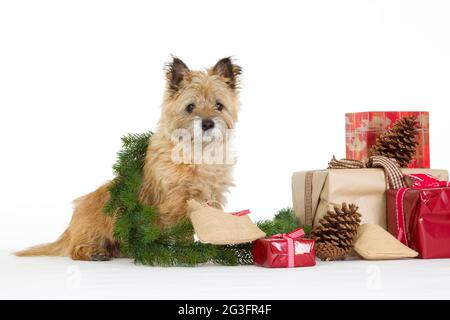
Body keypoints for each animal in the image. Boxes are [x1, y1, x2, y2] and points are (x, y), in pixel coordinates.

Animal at [15, 57, 243, 262]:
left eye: (219, 105)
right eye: (190, 107)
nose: (207, 123)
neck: (197, 153)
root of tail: (70, 226)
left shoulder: (212, 198)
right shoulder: (176, 202)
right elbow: (182, 229)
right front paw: (188, 251)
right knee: (75, 249)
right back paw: (94, 252)